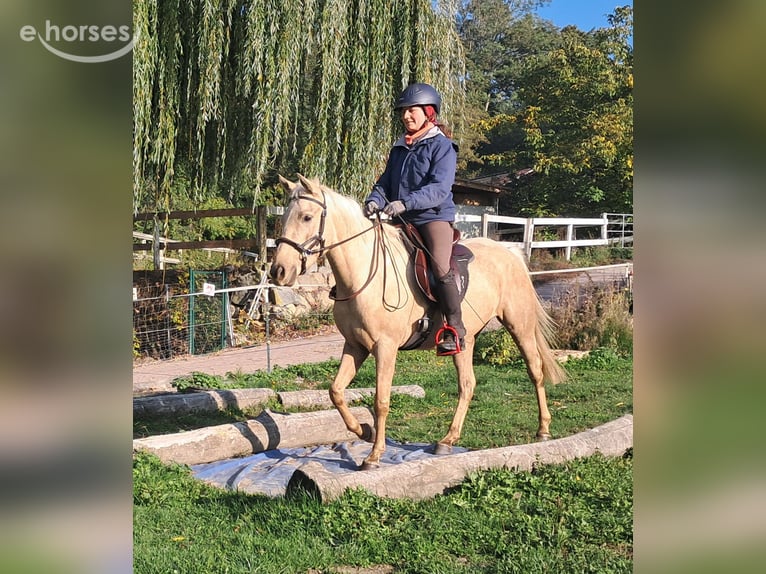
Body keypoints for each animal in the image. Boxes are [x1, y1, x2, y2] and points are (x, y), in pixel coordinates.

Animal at [269, 174, 567, 470]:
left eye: (307, 217)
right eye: (284, 216)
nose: (279, 271)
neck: (364, 273)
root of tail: (510, 253)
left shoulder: (385, 347)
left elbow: (381, 400)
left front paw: (374, 456)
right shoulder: (355, 345)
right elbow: (336, 391)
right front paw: (364, 431)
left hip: (519, 326)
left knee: (535, 371)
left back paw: (543, 429)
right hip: (465, 340)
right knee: (467, 384)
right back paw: (447, 440)